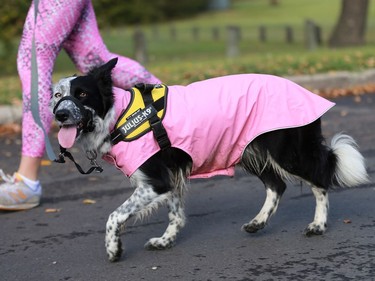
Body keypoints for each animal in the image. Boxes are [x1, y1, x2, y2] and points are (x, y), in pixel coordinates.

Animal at [51, 58, 368, 262]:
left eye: (82, 94)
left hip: (288, 153)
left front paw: (113, 249)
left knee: (320, 180)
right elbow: (176, 215)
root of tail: (302, 90)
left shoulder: (155, 181)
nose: (60, 115)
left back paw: (318, 225)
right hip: (249, 150)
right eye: (56, 95)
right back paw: (258, 223)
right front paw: (166, 241)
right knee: (277, 186)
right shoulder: (171, 177)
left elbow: (114, 216)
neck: (118, 116)